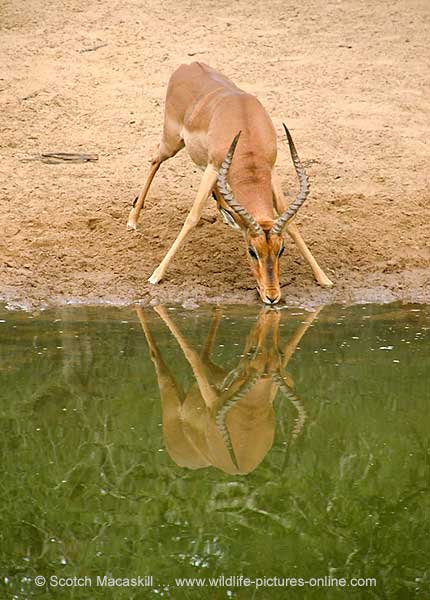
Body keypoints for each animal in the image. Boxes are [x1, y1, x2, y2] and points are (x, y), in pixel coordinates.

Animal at [127, 63, 332, 304]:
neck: (246, 129)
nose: (272, 297)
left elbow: (291, 224)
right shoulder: (214, 167)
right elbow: (192, 217)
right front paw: (156, 275)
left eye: (281, 250)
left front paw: (324, 278)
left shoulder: (271, 171)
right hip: (172, 142)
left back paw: (225, 211)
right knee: (154, 159)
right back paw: (132, 220)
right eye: (252, 251)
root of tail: (188, 65)